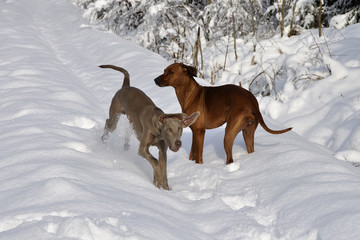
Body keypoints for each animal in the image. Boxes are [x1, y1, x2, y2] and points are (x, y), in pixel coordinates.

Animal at [155, 63, 292, 165]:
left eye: (169, 72)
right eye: (164, 70)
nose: (155, 80)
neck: (190, 93)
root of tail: (253, 102)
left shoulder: (200, 131)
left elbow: (198, 156)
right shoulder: (195, 131)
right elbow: (192, 154)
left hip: (229, 133)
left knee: (230, 158)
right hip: (247, 131)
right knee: (250, 149)